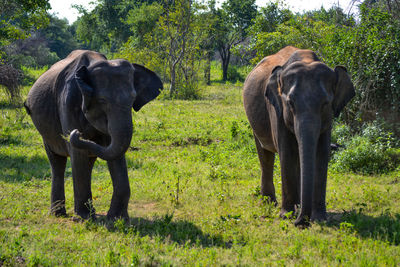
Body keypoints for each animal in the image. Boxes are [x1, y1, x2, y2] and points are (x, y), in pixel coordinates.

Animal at [24, 50, 162, 222]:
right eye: (102, 100)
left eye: (132, 99)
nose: (76, 133)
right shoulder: (68, 102)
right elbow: (78, 153)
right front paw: (83, 219)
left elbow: (115, 152)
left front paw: (117, 219)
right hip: (44, 131)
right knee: (57, 162)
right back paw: (59, 214)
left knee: (87, 163)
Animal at [242, 46, 354, 226]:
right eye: (290, 103)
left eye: (325, 104)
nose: (301, 222)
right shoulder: (277, 109)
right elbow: (287, 153)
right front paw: (286, 216)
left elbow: (321, 154)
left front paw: (320, 219)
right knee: (265, 155)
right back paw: (270, 203)